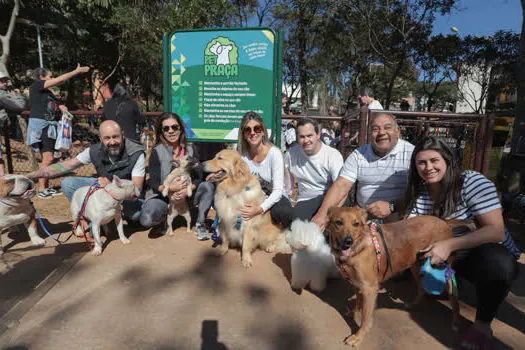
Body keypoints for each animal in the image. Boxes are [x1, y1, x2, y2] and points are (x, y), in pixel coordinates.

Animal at [326, 206, 460, 346]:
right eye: (338, 222)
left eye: (356, 224)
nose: (348, 241)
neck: (358, 247)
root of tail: (444, 222)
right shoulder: (357, 284)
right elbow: (358, 304)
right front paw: (354, 313)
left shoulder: (369, 289)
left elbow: (365, 318)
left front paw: (358, 336)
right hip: (415, 266)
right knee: (421, 289)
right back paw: (413, 304)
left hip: (442, 269)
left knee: (453, 296)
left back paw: (456, 322)